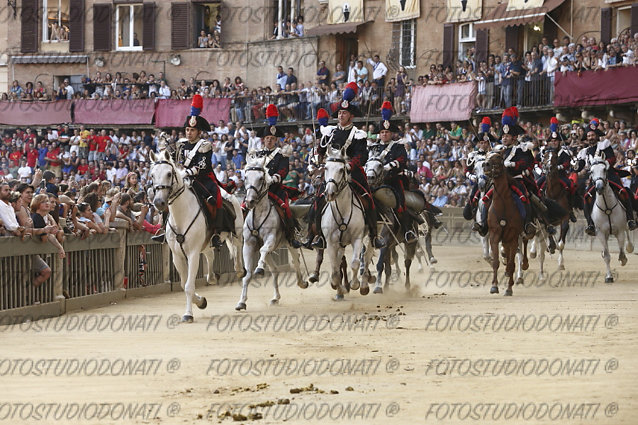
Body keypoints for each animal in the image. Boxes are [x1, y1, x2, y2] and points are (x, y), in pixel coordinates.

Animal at [150, 150, 245, 322]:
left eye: (169, 173)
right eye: (152, 175)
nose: (159, 202)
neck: (181, 214)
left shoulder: (193, 253)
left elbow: (188, 285)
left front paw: (188, 314)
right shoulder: (177, 256)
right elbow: (184, 284)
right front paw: (200, 301)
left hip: (237, 233)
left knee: (238, 248)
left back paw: (240, 270)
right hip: (206, 244)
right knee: (210, 255)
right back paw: (212, 277)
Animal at [235, 154, 308, 310]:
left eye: (261, 178)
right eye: (246, 177)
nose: (250, 201)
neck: (258, 216)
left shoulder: (271, 239)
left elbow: (263, 250)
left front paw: (259, 269)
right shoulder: (248, 245)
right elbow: (247, 275)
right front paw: (241, 302)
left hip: (290, 243)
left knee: (296, 261)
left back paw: (301, 282)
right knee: (274, 269)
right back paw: (275, 297)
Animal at [324, 147, 376, 300]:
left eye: (342, 169)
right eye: (325, 167)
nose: (329, 193)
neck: (343, 209)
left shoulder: (357, 239)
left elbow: (355, 263)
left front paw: (354, 284)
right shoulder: (330, 242)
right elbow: (335, 270)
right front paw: (340, 288)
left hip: (371, 236)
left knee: (366, 256)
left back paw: (364, 284)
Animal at [484, 152, 524, 294]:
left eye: (498, 157)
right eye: (486, 155)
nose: (485, 164)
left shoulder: (513, 237)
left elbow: (512, 264)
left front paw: (509, 288)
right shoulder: (494, 235)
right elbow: (496, 262)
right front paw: (494, 286)